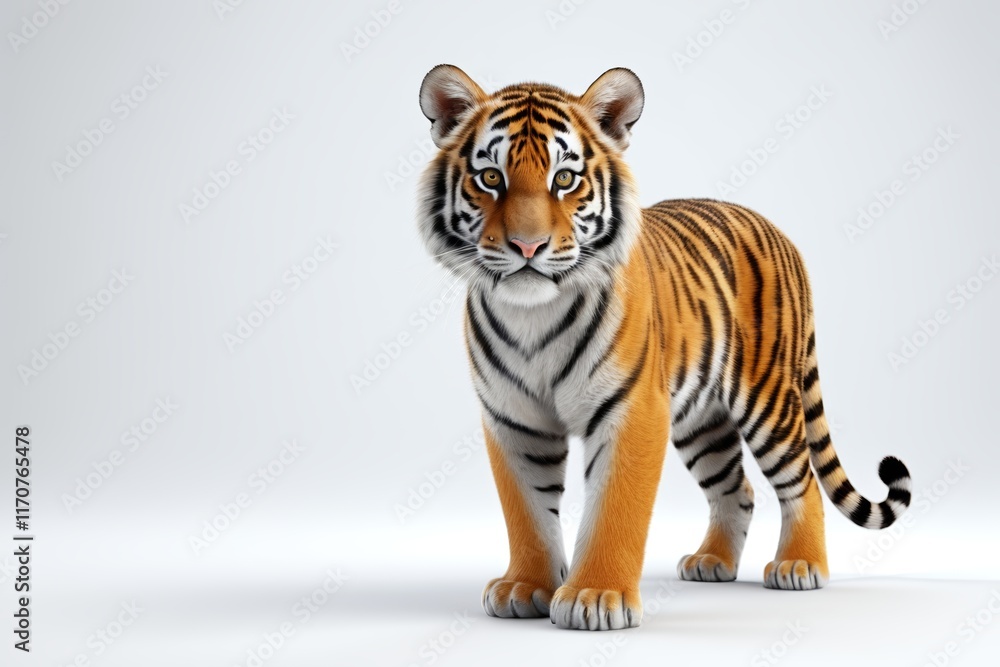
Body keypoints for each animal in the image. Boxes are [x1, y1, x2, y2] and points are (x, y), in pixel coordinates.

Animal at [415, 64, 912, 631]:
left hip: (767, 400)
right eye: (491, 178)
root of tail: (780, 233)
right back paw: (712, 562)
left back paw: (800, 565)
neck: (532, 315)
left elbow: (615, 507)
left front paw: (595, 596)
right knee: (736, 490)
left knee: (802, 480)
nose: (527, 246)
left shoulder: (631, 408)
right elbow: (526, 511)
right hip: (703, 421)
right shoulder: (513, 419)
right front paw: (526, 586)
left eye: (564, 179)